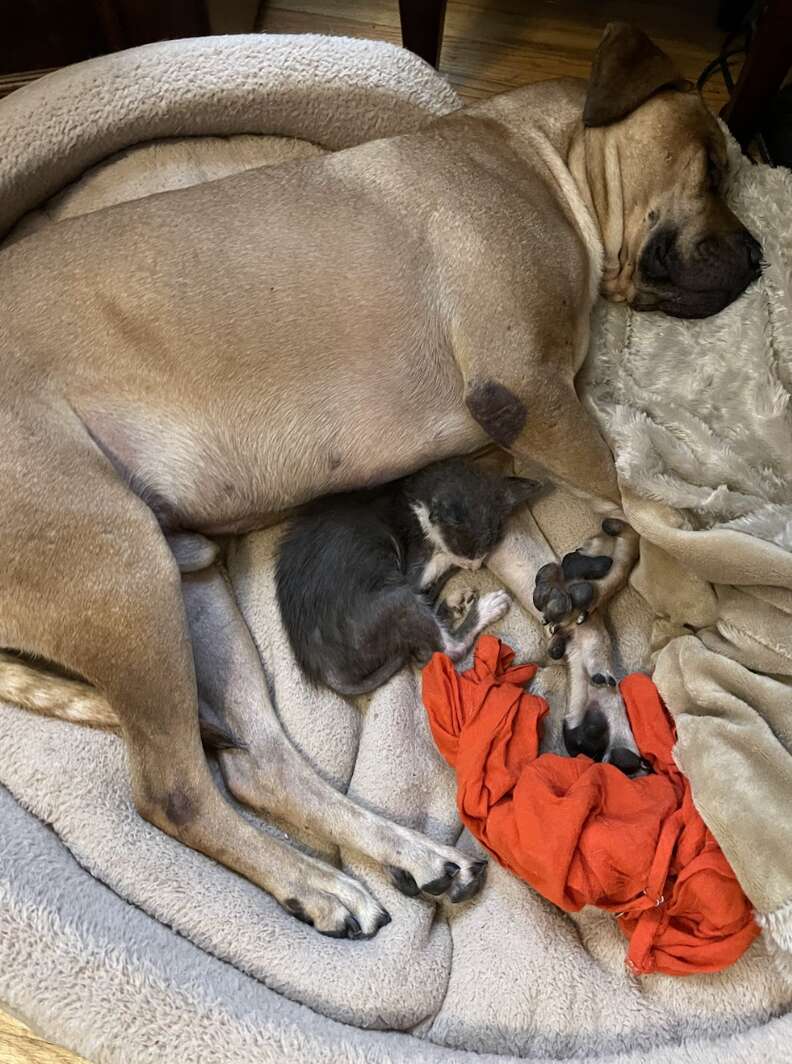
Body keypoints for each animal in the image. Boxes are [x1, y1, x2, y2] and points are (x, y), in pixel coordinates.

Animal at [274, 459, 540, 697]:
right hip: (397, 597)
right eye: (466, 549)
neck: (415, 499)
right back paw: (485, 608)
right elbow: (443, 560)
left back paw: (455, 602)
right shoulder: (413, 570)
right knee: (443, 651)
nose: (476, 567)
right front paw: (459, 563)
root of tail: (326, 669)